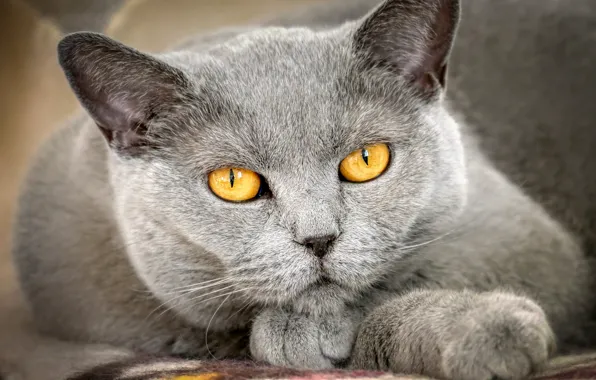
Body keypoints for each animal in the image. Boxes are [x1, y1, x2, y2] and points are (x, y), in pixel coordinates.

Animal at [12, 0, 596, 378]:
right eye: (233, 182)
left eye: (366, 160)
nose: (319, 238)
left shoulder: (523, 234)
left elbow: (409, 277)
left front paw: (486, 329)